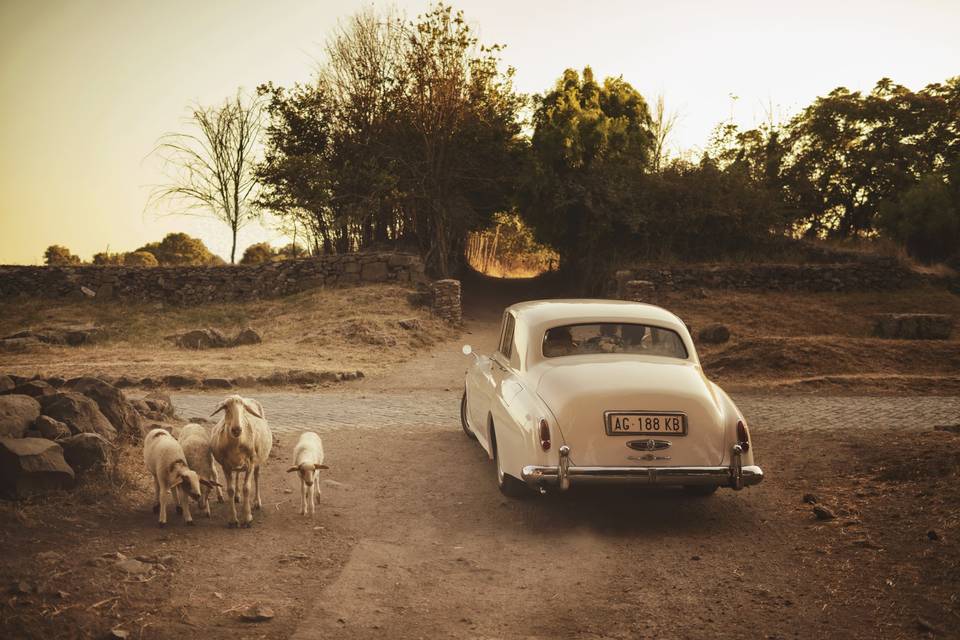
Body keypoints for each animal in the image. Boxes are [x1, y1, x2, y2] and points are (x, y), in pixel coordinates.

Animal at [208, 398, 272, 528]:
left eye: (244, 408)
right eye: (226, 407)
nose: (237, 429)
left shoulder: (251, 463)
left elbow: (247, 488)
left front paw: (247, 518)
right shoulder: (225, 466)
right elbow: (230, 490)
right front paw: (233, 519)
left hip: (258, 461)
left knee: (257, 477)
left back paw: (257, 502)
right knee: (237, 474)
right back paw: (237, 496)